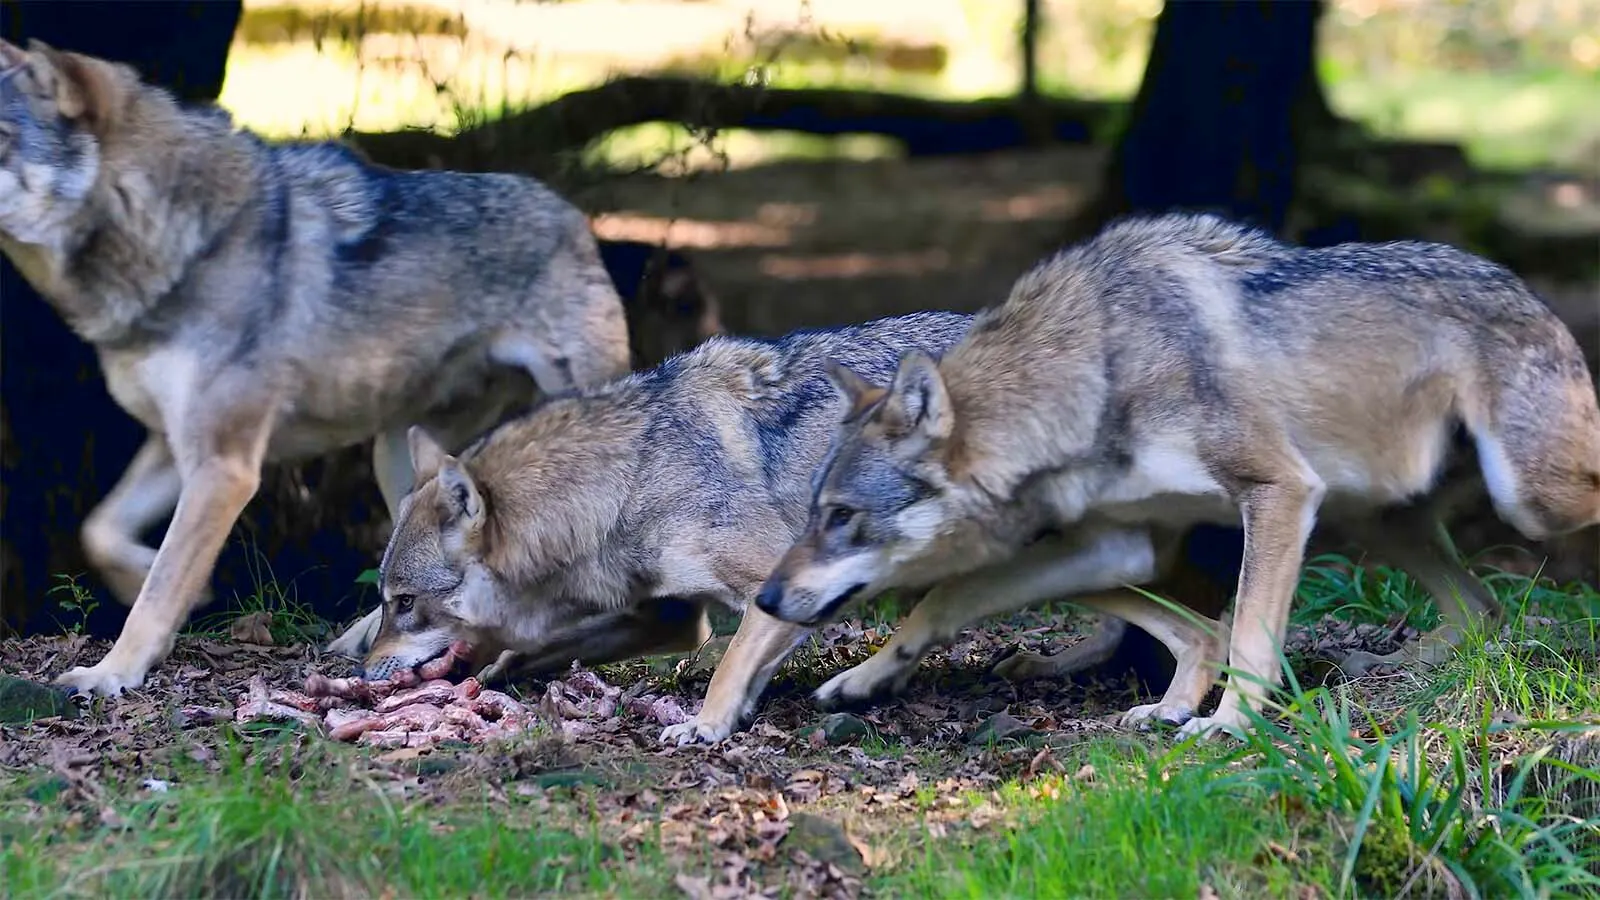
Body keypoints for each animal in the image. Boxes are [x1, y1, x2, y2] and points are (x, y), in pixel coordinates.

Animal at [0, 38, 633, 697]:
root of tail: (576, 218)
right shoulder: (176, 449)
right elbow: (99, 532)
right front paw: (153, 586)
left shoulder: (224, 468)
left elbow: (159, 587)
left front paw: (112, 672)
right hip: (398, 457)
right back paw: (365, 636)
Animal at [357, 310, 1239, 745]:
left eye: (403, 603)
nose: (361, 671)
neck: (627, 476)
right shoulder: (667, 615)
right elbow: (543, 646)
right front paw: (499, 672)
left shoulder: (772, 590)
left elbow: (724, 667)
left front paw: (709, 727)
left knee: (1203, 624)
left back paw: (1174, 706)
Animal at [754, 212, 1600, 741]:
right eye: (813, 510)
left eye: (840, 516)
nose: (764, 597)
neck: (1098, 370)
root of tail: (1521, 283)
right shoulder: (1118, 543)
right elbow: (946, 600)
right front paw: (865, 680)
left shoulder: (1278, 491)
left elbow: (1250, 632)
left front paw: (1225, 725)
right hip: (1366, 512)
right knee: (1480, 608)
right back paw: (1386, 666)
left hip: (1523, 502)